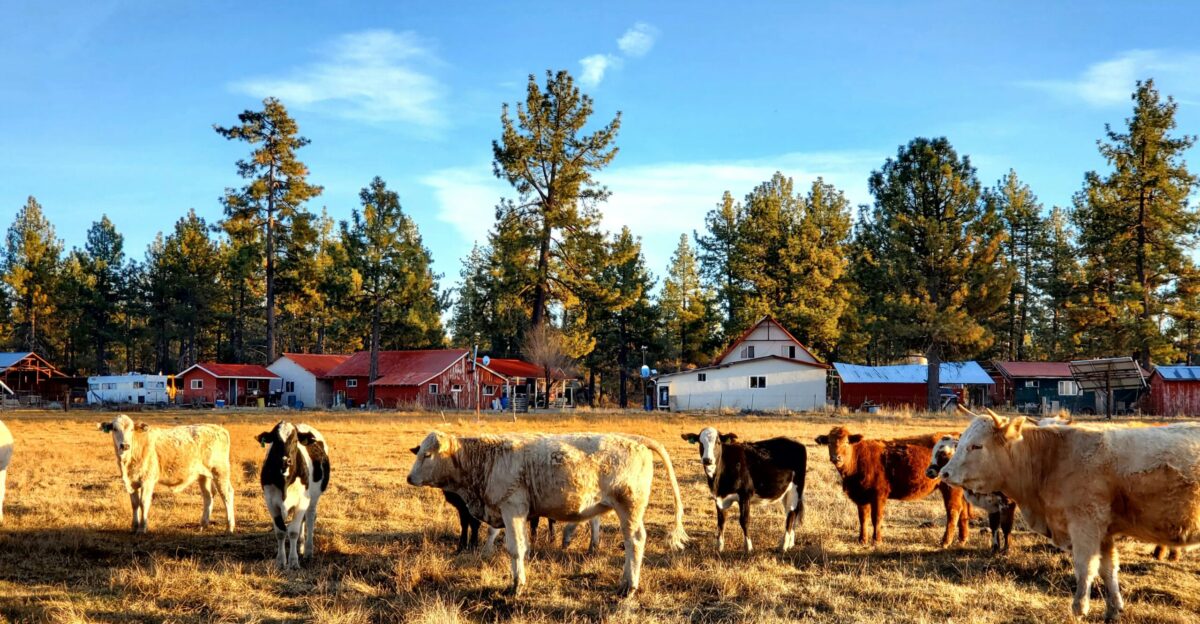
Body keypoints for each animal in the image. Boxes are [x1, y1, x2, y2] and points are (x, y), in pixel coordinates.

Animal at [97, 414, 235, 533]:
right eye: (115, 429)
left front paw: (142, 528)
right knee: (208, 496)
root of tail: (218, 428)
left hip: (220, 472)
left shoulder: (147, 481)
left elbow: (143, 502)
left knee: (226, 494)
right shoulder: (132, 482)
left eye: (131, 429)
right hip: (203, 475)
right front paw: (134, 526)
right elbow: (135, 504)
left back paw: (229, 527)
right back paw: (203, 525)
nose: (125, 445)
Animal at [256, 421, 331, 569]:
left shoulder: (302, 501)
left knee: (310, 519)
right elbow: (280, 532)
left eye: (295, 441)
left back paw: (308, 551)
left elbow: (293, 531)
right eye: (275, 440)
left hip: (312, 499)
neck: (284, 482)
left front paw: (293, 561)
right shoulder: (271, 502)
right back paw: (301, 547)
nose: (285, 461)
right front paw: (280, 560)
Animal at [407, 431, 688, 596]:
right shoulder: (521, 514)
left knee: (635, 541)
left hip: (629, 507)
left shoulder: (512, 508)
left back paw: (629, 586)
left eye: (427, 454)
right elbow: (523, 547)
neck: (488, 460)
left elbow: (514, 549)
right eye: (418, 451)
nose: (409, 478)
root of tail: (636, 440)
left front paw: (516, 587)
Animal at [815, 426, 969, 547]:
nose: (836, 458)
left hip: (951, 489)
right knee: (963, 510)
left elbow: (876, 518)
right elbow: (863, 518)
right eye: (829, 442)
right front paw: (862, 540)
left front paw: (876, 541)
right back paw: (962, 540)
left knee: (953, 511)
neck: (858, 460)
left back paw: (945, 541)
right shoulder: (861, 496)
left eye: (847, 442)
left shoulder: (878, 495)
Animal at [939, 409, 1200, 621]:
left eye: (976, 446)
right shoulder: (1104, 533)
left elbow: (1085, 566)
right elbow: (1108, 569)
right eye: (961, 442)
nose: (944, 473)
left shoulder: (1085, 524)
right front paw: (1113, 609)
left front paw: (1079, 607)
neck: (1052, 458)